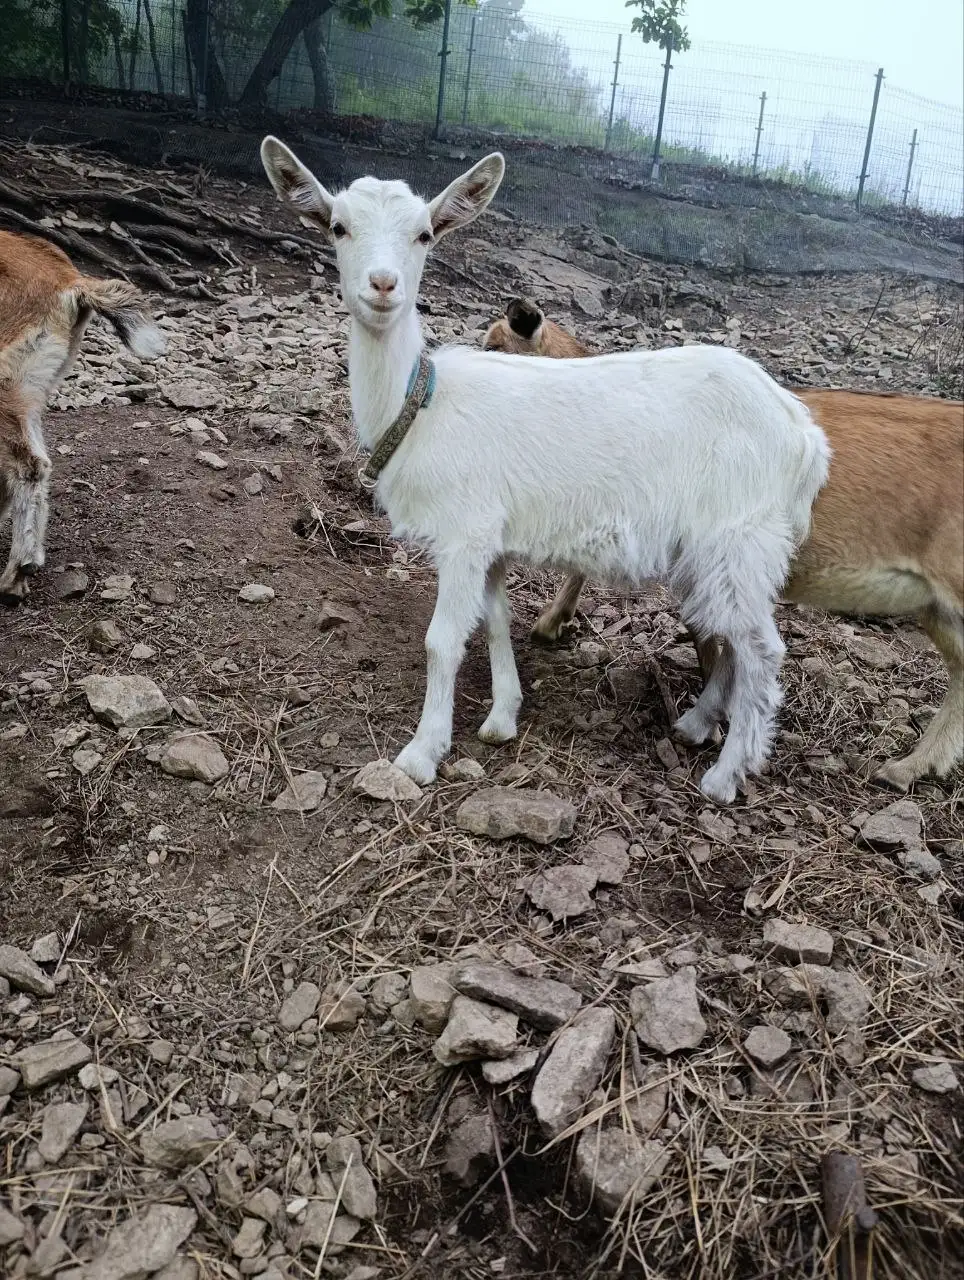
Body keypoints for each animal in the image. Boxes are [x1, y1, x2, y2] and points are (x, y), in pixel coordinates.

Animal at [261, 138, 830, 803]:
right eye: (337, 226)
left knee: (761, 648)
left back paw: (725, 774)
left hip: (741, 535)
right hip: (714, 549)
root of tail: (802, 432)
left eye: (425, 233)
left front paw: (422, 752)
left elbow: (442, 640)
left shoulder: (465, 530)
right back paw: (695, 724)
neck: (421, 403)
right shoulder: (491, 539)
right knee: (731, 638)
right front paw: (502, 716)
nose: (383, 284)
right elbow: (496, 621)